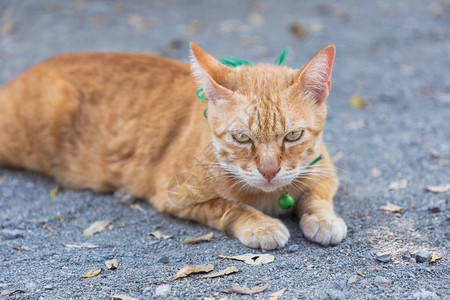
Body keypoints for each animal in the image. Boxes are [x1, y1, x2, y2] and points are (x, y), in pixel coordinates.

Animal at [0, 42, 348, 248]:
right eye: (241, 138)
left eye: (292, 136)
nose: (269, 171)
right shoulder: (175, 195)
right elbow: (230, 206)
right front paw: (261, 224)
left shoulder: (325, 170)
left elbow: (317, 196)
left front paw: (323, 219)